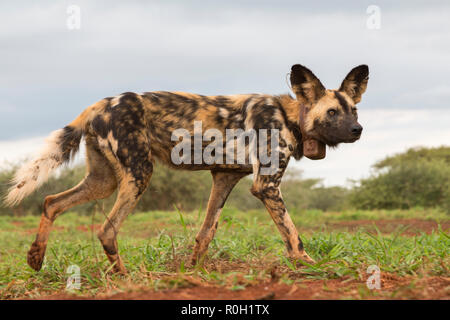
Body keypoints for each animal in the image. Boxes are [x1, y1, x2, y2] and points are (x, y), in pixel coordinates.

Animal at [4, 64, 370, 272]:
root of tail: (99, 104)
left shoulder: (224, 178)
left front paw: (193, 273)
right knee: (107, 229)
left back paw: (35, 259)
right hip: (139, 174)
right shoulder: (266, 187)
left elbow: (206, 232)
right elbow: (293, 236)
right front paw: (311, 266)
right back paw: (126, 278)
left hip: (102, 181)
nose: (358, 130)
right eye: (332, 113)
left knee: (52, 202)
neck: (289, 115)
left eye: (353, 110)